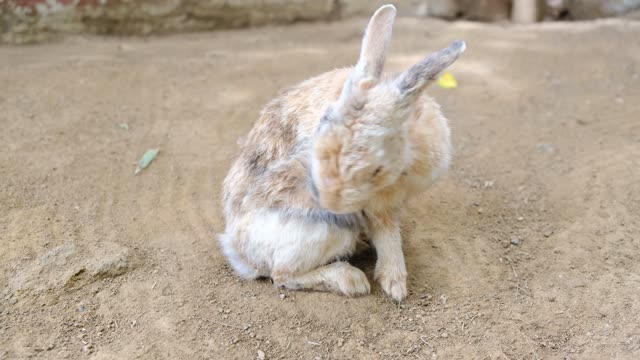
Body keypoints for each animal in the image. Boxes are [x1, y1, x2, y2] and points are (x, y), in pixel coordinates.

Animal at [220, 4, 464, 302]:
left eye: (376, 168)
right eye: (320, 130)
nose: (329, 202)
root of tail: (239, 252)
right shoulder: (377, 207)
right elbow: (387, 236)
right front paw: (396, 286)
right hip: (326, 232)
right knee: (282, 275)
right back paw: (351, 279)